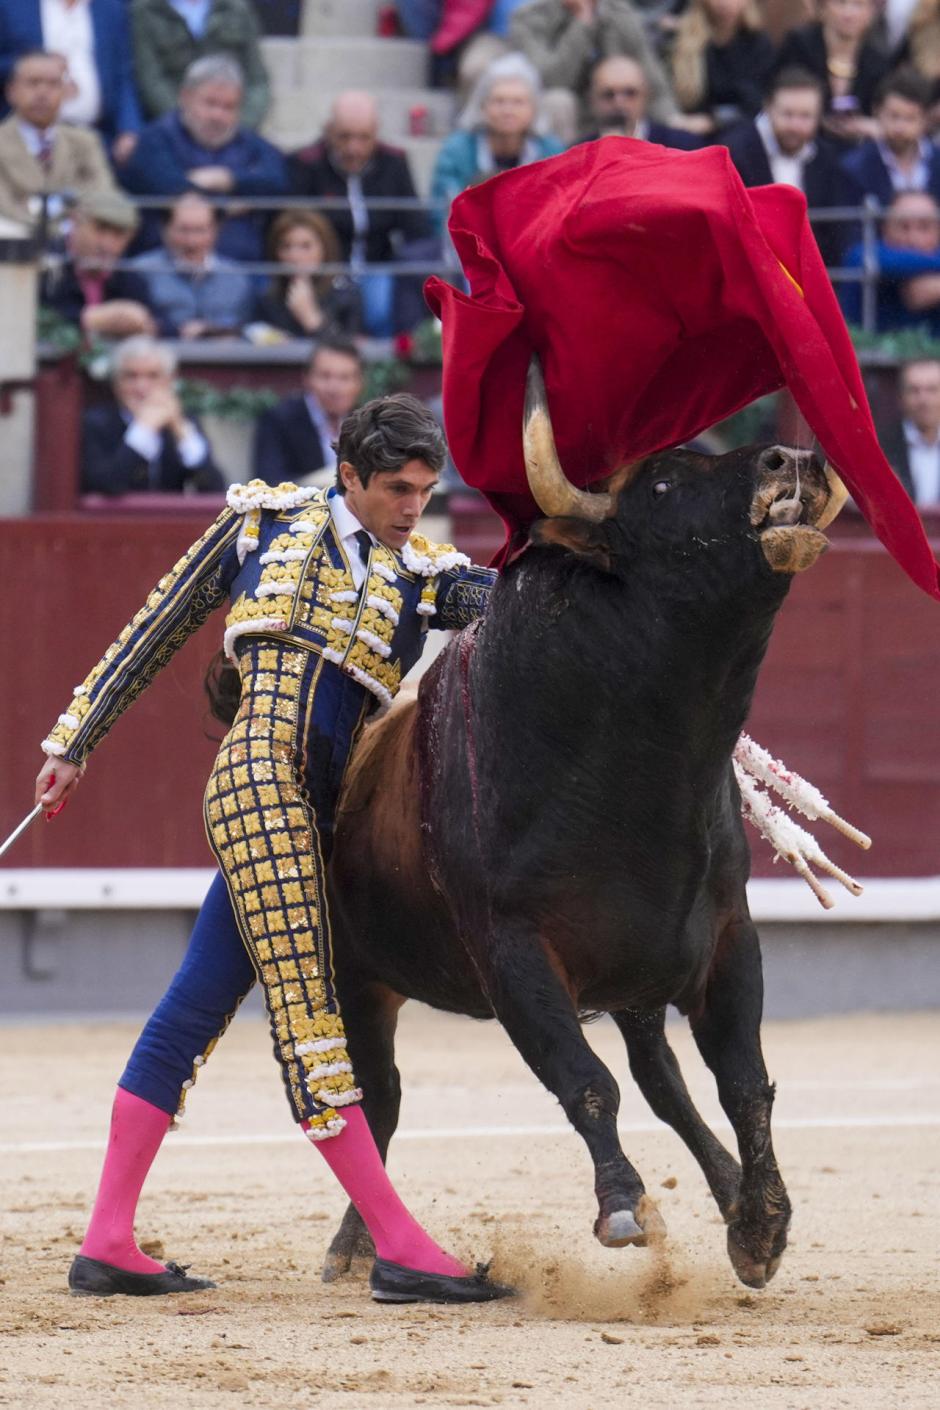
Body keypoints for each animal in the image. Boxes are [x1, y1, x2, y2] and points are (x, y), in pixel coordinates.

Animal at [321, 360, 845, 1291]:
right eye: (664, 482)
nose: (795, 461)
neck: (640, 777)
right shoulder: (514, 953)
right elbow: (584, 1078)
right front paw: (626, 1207)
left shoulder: (726, 936)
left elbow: (742, 1081)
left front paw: (763, 1225)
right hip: (359, 977)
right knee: (377, 1096)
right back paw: (357, 1246)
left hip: (637, 972)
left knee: (664, 1077)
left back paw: (729, 1199)